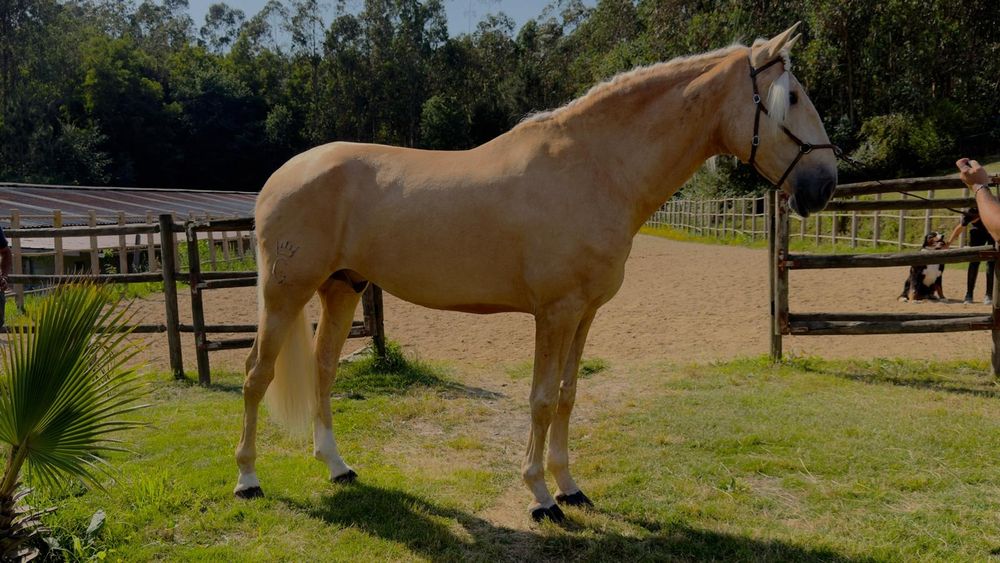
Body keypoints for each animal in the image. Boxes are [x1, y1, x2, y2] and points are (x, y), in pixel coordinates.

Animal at [234, 23, 839, 522]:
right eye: (791, 98)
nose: (824, 185)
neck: (595, 168)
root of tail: (281, 177)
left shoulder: (585, 314)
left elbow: (568, 395)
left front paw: (570, 487)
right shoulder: (555, 311)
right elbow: (542, 399)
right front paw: (541, 497)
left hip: (342, 288)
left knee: (323, 369)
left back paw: (337, 467)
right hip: (284, 294)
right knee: (257, 374)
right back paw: (248, 479)